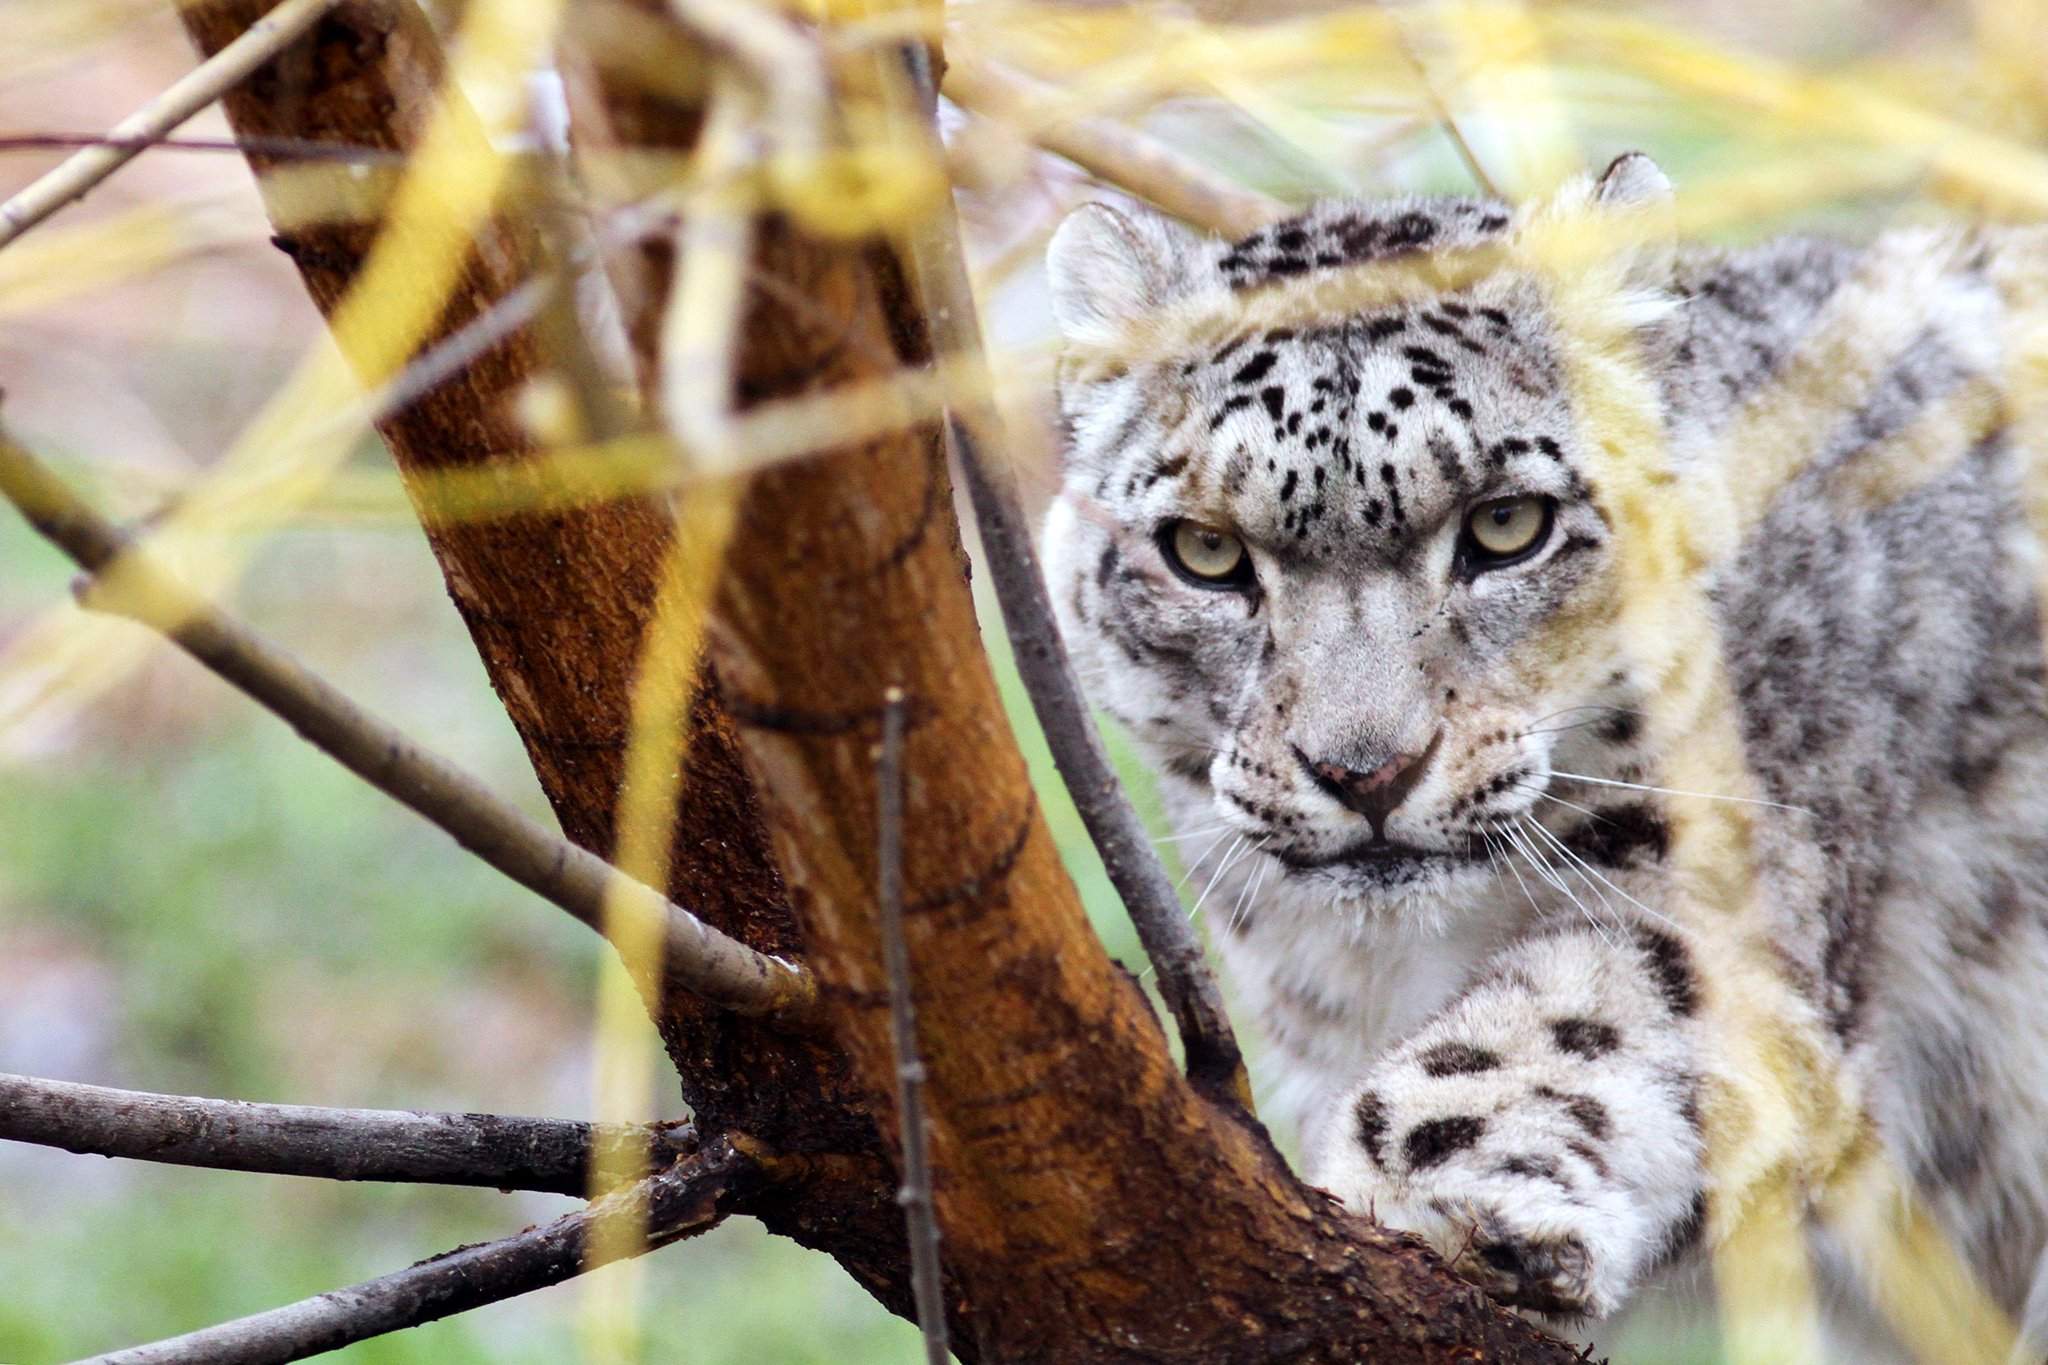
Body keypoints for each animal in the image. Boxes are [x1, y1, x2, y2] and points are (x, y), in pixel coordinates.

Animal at [1040, 152, 2048, 1358]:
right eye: (1202, 550)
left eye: (1507, 524)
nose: (1365, 771)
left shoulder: (1733, 886)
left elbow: (1575, 1013)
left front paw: (1430, 1194)